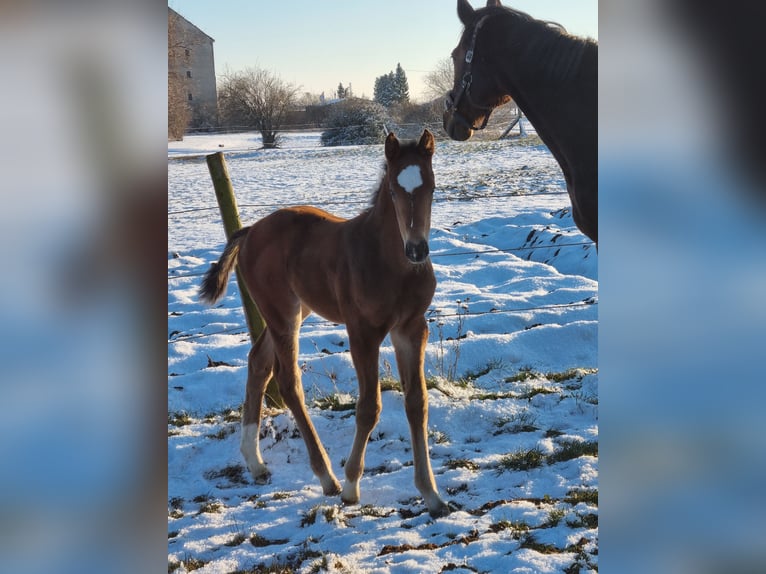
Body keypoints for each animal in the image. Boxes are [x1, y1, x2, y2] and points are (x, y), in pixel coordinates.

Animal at [200, 132, 456, 520]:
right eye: (393, 190)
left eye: (431, 186)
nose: (417, 250)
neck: (391, 263)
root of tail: (250, 232)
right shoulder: (362, 332)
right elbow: (369, 407)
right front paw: (351, 487)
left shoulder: (412, 329)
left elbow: (417, 404)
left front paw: (432, 495)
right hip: (283, 314)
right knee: (288, 382)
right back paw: (328, 478)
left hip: (293, 311)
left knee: (258, 362)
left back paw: (256, 464)